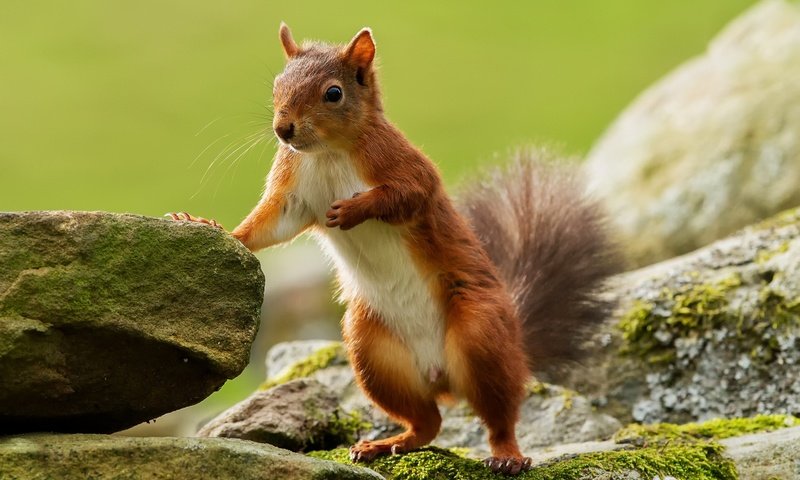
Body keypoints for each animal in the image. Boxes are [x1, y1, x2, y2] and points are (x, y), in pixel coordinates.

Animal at [170, 25, 620, 476]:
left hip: (481, 334)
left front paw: (354, 209)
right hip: (373, 353)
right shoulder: (293, 193)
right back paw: (386, 444)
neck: (328, 152)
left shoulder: (405, 166)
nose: (284, 130)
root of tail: (442, 377)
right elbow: (267, 227)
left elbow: (406, 195)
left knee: (499, 415)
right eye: (278, 85)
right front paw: (208, 226)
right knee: (427, 422)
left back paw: (507, 455)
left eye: (333, 93)